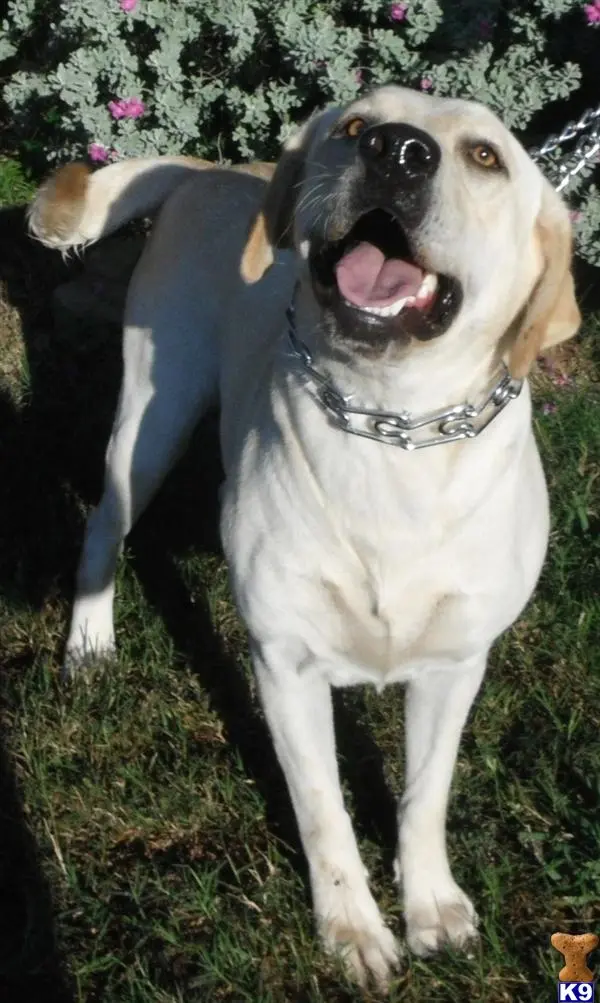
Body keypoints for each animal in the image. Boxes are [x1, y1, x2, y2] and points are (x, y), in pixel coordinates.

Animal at [29, 84, 581, 986]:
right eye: (355, 125)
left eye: (486, 156)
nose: (397, 150)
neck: (392, 428)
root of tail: (215, 170)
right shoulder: (284, 662)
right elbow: (322, 808)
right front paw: (352, 929)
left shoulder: (457, 663)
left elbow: (424, 794)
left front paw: (432, 907)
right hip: (153, 414)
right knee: (106, 521)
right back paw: (90, 642)